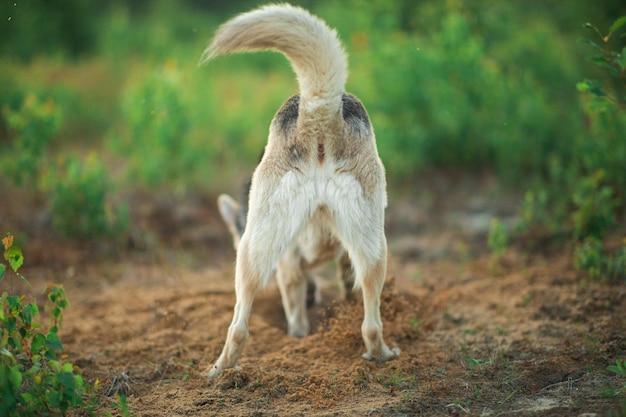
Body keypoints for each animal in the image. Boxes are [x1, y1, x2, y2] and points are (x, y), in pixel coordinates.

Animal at [205, 2, 400, 376]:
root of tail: (318, 109)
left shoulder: (287, 263)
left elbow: (296, 310)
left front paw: (300, 337)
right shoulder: (332, 256)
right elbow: (341, 287)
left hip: (254, 250)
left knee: (244, 325)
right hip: (372, 246)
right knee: (370, 321)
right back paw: (379, 353)